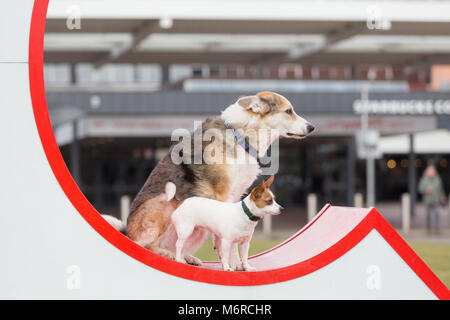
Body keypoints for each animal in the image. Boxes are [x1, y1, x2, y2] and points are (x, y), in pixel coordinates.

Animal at [106, 91, 314, 268]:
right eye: (288, 111)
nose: (312, 127)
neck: (239, 136)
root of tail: (127, 233)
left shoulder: (237, 195)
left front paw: (237, 264)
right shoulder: (222, 194)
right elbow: (227, 239)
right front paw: (231, 264)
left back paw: (185, 257)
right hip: (163, 204)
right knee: (145, 245)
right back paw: (170, 255)